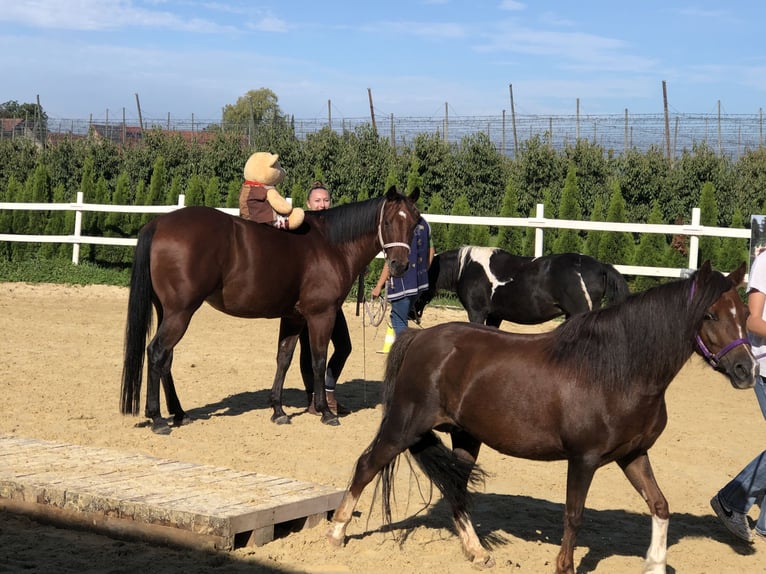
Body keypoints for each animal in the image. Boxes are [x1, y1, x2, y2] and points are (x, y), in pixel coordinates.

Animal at [120, 187, 421, 434]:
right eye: (388, 221)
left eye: (414, 222)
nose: (400, 266)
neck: (330, 244)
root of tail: (159, 223)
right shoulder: (320, 316)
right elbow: (319, 360)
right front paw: (325, 412)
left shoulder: (293, 318)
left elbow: (284, 359)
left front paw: (278, 410)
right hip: (180, 313)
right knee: (157, 352)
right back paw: (158, 418)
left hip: (168, 312)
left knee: (166, 358)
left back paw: (179, 413)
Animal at [327, 261, 756, 574]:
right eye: (711, 315)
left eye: (744, 313)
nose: (745, 370)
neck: (619, 371)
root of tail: (419, 337)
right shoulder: (583, 460)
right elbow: (574, 515)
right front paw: (564, 567)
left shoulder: (633, 455)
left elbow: (660, 505)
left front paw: (654, 564)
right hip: (403, 426)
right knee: (366, 465)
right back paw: (336, 533)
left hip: (465, 437)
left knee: (456, 490)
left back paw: (477, 552)